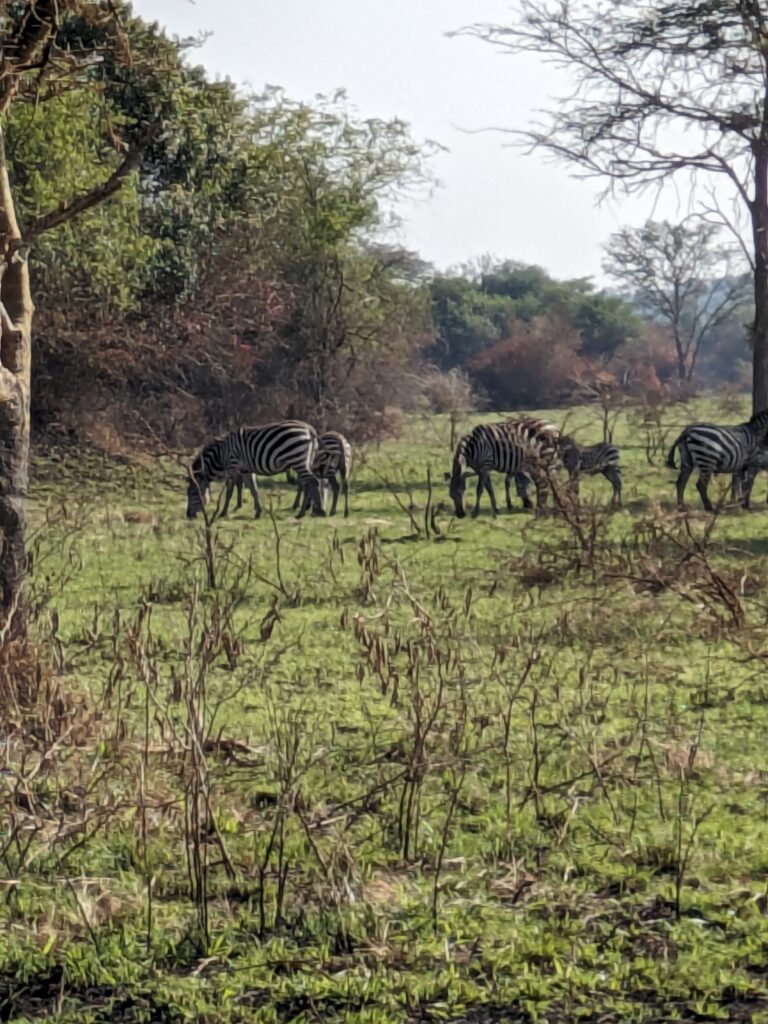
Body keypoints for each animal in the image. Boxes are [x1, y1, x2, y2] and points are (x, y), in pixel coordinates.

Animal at [187, 419, 325, 520]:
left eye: (193, 493)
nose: (188, 515)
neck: (220, 455)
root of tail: (309, 429)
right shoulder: (246, 470)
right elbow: (253, 489)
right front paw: (258, 512)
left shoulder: (232, 467)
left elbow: (229, 492)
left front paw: (223, 512)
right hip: (305, 461)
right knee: (307, 483)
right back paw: (304, 511)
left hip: (297, 460)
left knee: (313, 481)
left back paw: (316, 511)